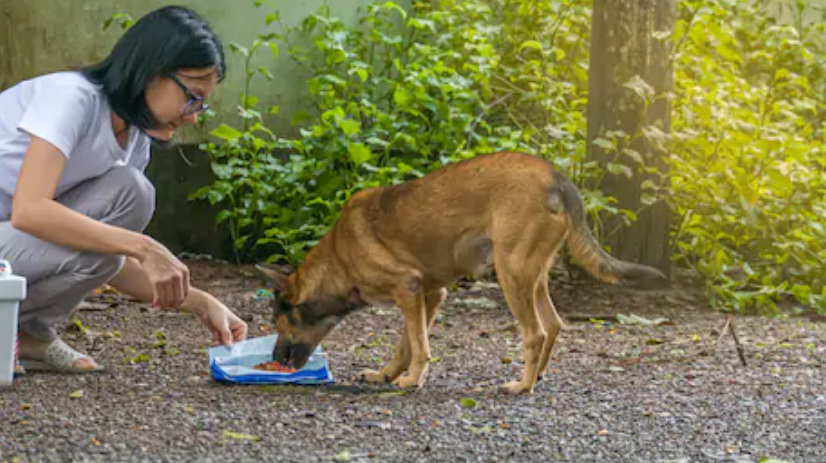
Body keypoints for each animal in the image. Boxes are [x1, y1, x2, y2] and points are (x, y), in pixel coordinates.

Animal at [254, 152, 668, 396]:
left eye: (278, 321)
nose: (274, 358)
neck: (339, 259)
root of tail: (557, 178)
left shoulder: (408, 290)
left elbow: (418, 345)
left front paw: (410, 380)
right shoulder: (429, 294)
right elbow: (405, 345)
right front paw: (387, 375)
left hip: (511, 273)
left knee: (535, 332)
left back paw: (521, 386)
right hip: (534, 276)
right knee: (553, 325)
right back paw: (538, 376)